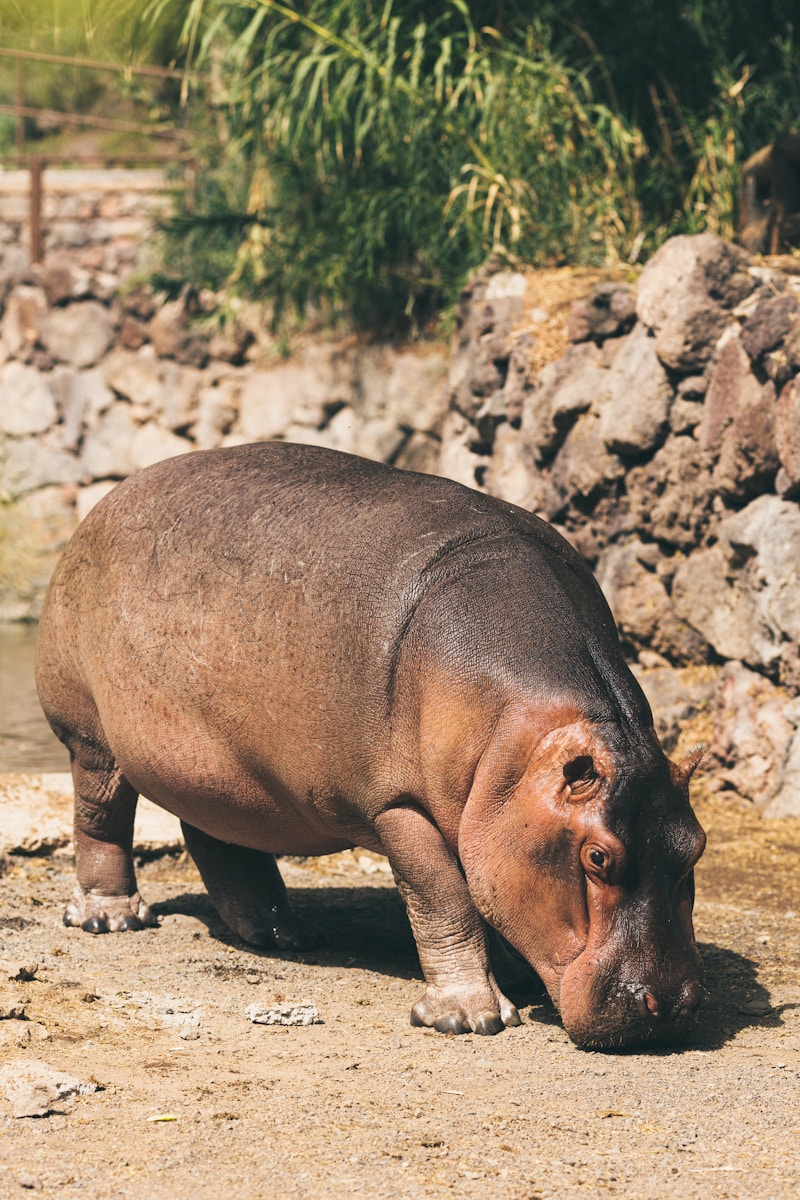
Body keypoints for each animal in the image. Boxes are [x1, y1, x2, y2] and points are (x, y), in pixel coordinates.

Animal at [35, 442, 706, 1047]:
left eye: (695, 847)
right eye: (597, 857)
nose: (669, 1005)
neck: (517, 744)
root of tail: (108, 497)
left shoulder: (486, 813)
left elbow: (480, 889)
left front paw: (511, 976)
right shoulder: (398, 807)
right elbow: (445, 899)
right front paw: (469, 1017)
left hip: (222, 772)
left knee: (220, 841)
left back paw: (286, 936)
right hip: (91, 737)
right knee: (101, 818)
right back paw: (111, 918)